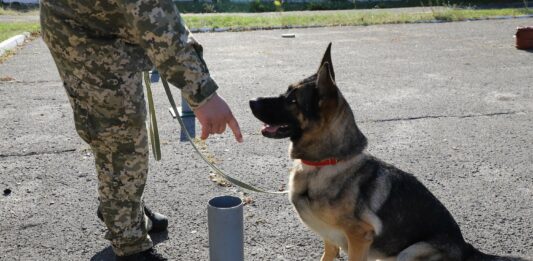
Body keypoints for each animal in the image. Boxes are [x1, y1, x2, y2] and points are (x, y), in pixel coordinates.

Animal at [249, 44, 528, 260]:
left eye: (292, 101)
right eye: (286, 93)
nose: (250, 101)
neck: (325, 163)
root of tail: (466, 248)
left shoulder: (359, 237)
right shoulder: (330, 239)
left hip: (411, 251)